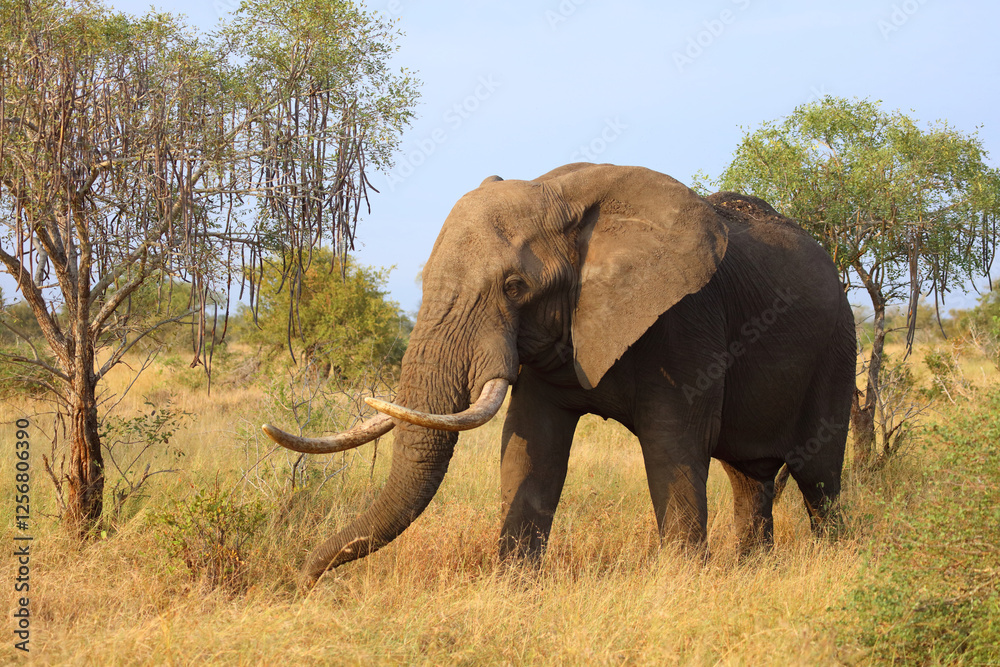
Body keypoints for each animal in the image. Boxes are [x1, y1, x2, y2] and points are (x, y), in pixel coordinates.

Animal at [263, 163, 856, 587]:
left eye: (514, 287)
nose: (305, 583)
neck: (562, 195)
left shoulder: (688, 320)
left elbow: (674, 445)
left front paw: (683, 586)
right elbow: (531, 445)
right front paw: (514, 589)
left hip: (838, 347)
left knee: (819, 476)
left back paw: (836, 563)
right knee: (748, 477)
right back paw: (756, 572)